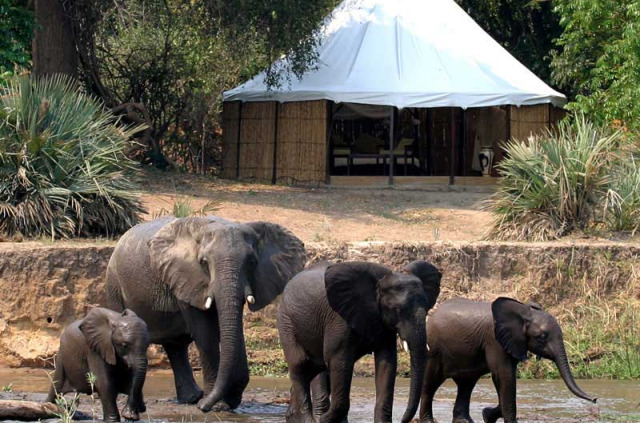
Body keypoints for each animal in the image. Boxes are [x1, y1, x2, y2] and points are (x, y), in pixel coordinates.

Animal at [105, 217, 304, 412]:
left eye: (252, 262)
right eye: (203, 262)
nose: (203, 407)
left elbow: (231, 327)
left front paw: (225, 401)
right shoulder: (187, 277)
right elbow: (205, 332)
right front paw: (218, 406)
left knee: (175, 346)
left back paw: (192, 398)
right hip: (114, 285)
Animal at [278, 260, 442, 423]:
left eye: (427, 307)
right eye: (397, 310)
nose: (402, 420)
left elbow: (387, 363)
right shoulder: (338, 318)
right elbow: (339, 361)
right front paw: (324, 419)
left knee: (313, 368)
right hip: (286, 321)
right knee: (301, 365)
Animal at [420, 298, 596, 423]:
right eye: (542, 337)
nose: (595, 399)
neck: (523, 311)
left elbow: (503, 378)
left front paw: (487, 415)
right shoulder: (494, 340)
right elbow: (504, 375)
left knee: (466, 385)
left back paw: (464, 421)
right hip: (433, 350)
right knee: (431, 383)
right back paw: (428, 421)